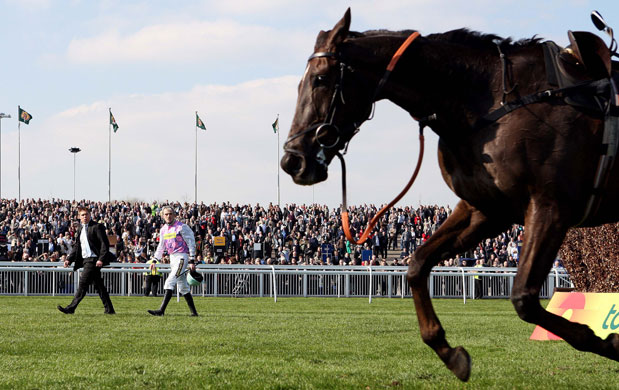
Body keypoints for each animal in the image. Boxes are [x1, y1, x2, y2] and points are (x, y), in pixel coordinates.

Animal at [282, 8, 619, 380]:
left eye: (320, 79)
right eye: (300, 82)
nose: (292, 160)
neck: (490, 100)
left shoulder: (549, 206)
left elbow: (524, 297)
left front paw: (608, 341)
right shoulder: (486, 209)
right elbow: (417, 264)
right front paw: (449, 351)